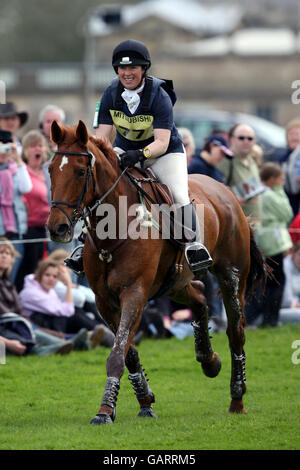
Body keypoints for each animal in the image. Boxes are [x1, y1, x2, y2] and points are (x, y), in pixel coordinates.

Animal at [46, 119, 264, 424]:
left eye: (80, 171)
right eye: (51, 170)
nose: (58, 228)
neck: (114, 229)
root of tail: (227, 192)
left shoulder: (134, 293)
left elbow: (117, 353)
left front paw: (105, 411)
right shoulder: (104, 300)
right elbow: (127, 352)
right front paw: (145, 401)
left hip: (231, 277)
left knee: (235, 332)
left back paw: (237, 397)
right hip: (173, 282)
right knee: (199, 295)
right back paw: (208, 359)